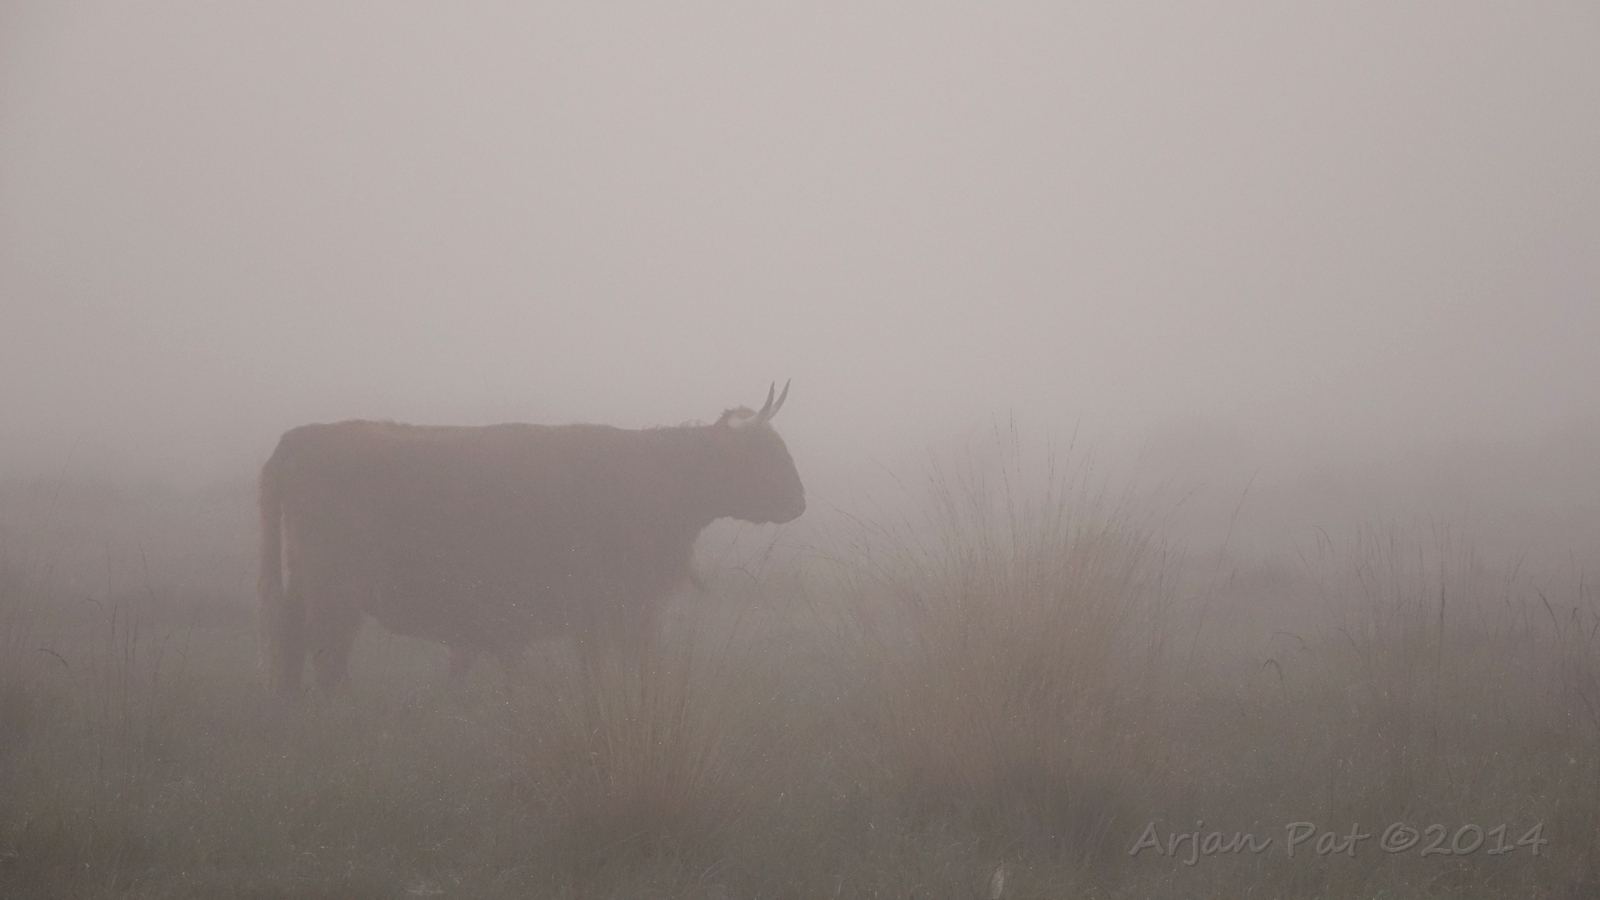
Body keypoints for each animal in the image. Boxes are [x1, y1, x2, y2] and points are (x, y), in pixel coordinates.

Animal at [258, 383, 803, 697]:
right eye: (764, 453)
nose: (800, 500)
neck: (657, 478)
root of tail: (302, 436)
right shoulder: (603, 601)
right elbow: (603, 664)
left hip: (308, 582)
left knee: (295, 639)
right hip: (333, 591)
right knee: (326, 650)